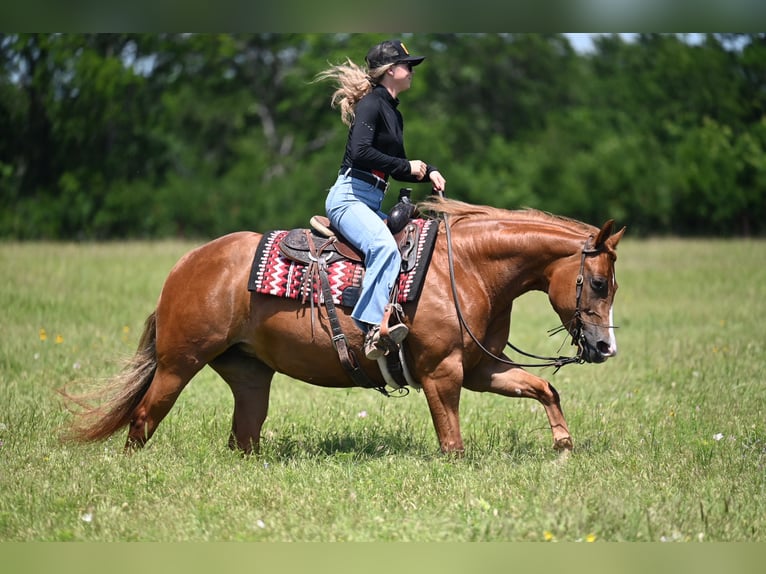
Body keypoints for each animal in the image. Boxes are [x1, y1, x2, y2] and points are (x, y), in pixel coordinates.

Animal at [63, 197, 625, 455]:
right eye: (598, 283)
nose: (604, 347)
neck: (465, 267)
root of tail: (185, 266)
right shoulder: (441, 373)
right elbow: (452, 443)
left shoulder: (479, 370)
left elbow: (543, 387)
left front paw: (563, 445)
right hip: (179, 364)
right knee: (142, 419)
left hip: (248, 375)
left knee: (243, 436)